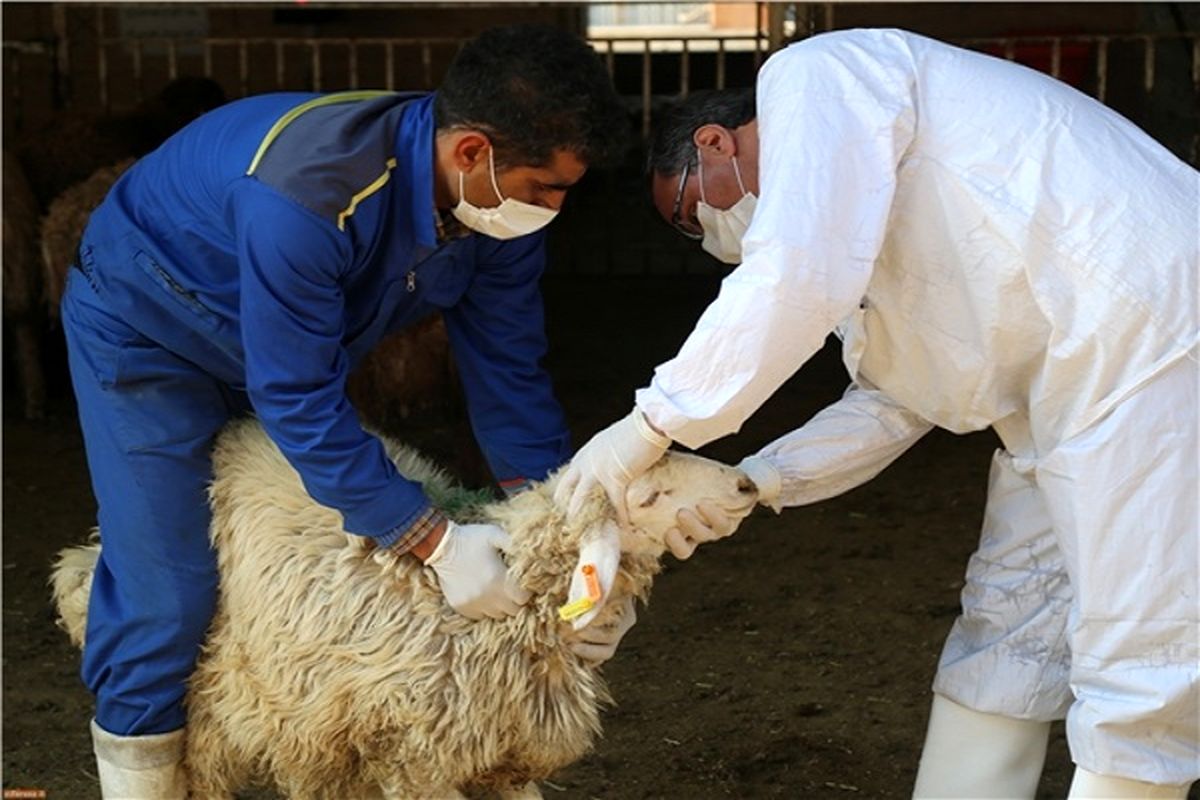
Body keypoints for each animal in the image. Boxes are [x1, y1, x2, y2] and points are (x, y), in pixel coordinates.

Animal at [54, 419, 758, 800]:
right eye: (649, 493)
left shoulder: (504, 756)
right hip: (215, 701)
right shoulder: (412, 754)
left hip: (307, 718)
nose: (747, 484)